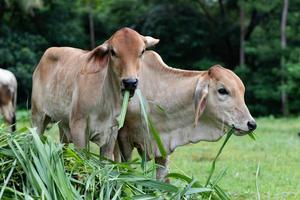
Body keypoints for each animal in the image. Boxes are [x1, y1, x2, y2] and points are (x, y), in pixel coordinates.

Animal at [31, 27, 159, 158]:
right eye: (113, 52)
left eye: (142, 51)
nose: (130, 82)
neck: (105, 101)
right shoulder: (78, 126)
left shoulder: (111, 132)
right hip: (38, 116)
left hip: (62, 123)